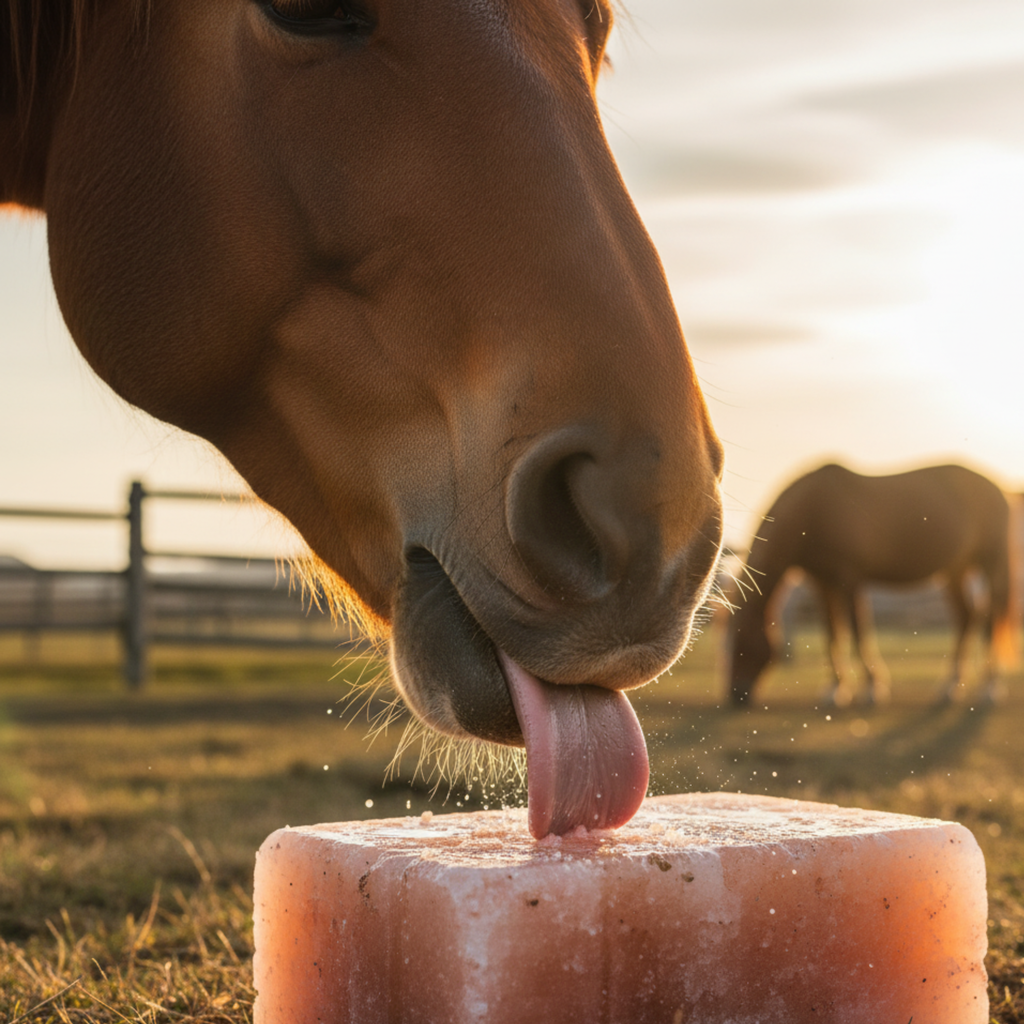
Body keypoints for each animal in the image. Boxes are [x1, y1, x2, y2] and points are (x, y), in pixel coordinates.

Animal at [727, 463, 1019, 708]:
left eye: (741, 641)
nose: (735, 695)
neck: (814, 511)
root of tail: (999, 489)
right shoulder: (823, 583)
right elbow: (832, 634)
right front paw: (836, 690)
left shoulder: (849, 579)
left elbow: (858, 631)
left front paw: (872, 688)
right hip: (956, 570)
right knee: (967, 617)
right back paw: (950, 687)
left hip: (991, 564)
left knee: (990, 618)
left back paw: (989, 689)